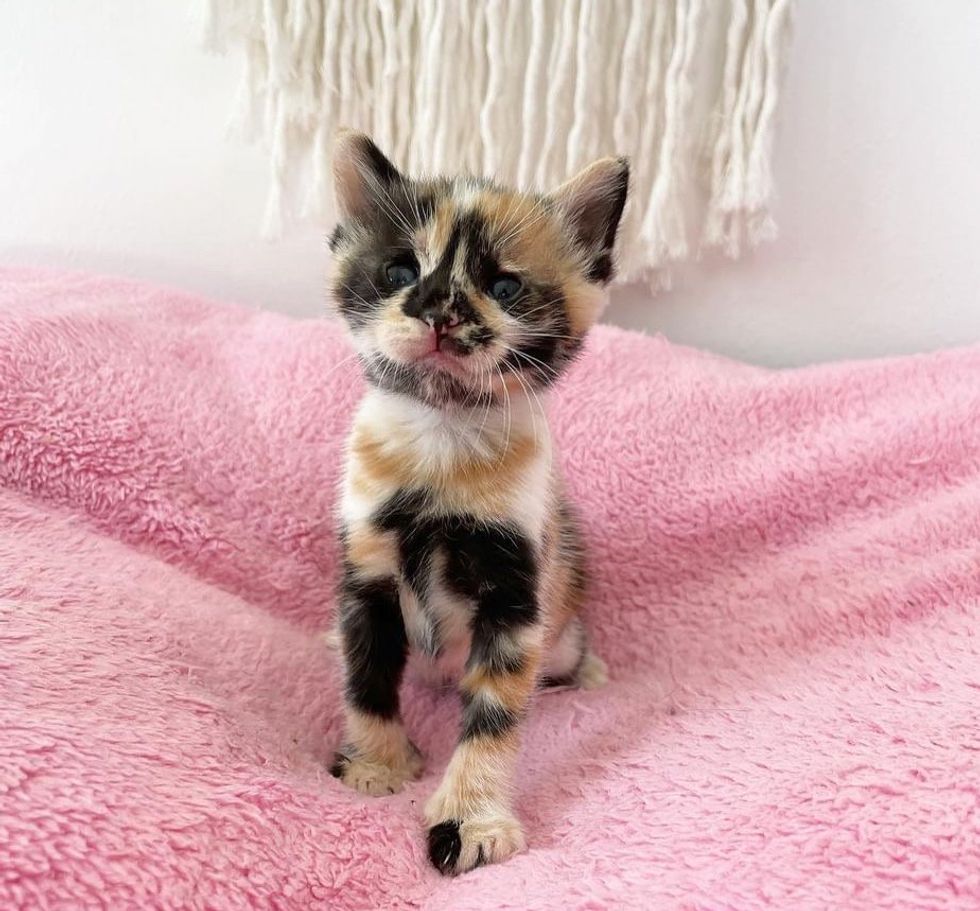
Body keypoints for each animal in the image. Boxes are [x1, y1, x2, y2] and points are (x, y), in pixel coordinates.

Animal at [330, 128, 628, 876]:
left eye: (504, 287)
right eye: (399, 272)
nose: (439, 310)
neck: (442, 438)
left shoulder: (516, 592)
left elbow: (495, 714)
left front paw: (472, 816)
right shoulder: (364, 572)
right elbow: (364, 674)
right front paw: (377, 762)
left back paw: (588, 668)